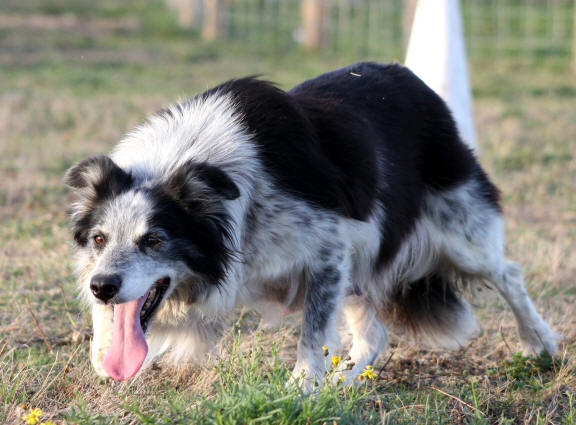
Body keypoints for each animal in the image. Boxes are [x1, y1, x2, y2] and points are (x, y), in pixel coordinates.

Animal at [65, 63, 556, 388]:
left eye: (154, 239)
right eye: (99, 239)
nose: (102, 287)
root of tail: (411, 79)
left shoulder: (328, 249)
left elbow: (313, 330)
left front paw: (300, 390)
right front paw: (103, 352)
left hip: (457, 230)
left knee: (507, 274)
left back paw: (541, 343)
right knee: (375, 333)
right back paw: (346, 380)